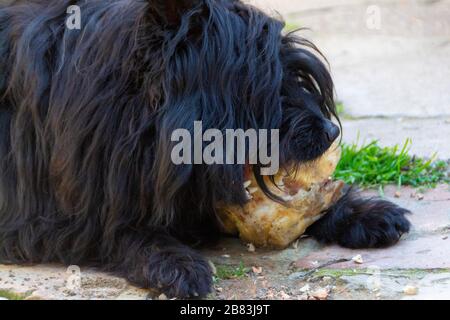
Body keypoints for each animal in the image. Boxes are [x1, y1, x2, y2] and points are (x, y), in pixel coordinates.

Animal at [0, 0, 412, 298]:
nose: (330, 130)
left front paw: (360, 211)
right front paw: (172, 261)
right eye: (268, 86)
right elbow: (112, 228)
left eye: (298, 77)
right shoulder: (44, 216)